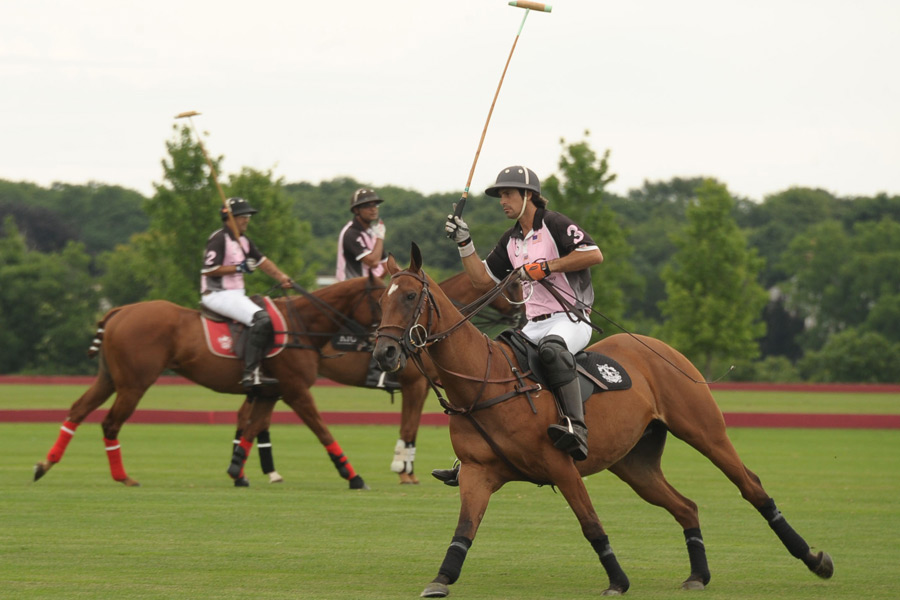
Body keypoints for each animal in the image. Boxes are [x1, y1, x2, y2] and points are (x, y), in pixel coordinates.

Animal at [34, 276, 386, 488]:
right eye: (384, 299)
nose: (385, 343)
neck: (302, 327)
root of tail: (118, 311)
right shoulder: (296, 391)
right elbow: (322, 430)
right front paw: (354, 477)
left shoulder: (270, 393)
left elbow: (251, 429)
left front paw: (237, 472)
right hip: (134, 384)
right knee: (110, 423)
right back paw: (123, 477)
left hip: (109, 378)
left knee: (78, 409)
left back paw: (45, 464)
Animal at [234, 270, 528, 486]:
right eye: (514, 286)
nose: (523, 317)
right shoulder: (415, 384)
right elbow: (408, 427)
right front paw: (403, 469)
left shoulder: (424, 385)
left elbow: (412, 427)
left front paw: (407, 468)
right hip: (290, 382)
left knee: (249, 414)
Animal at [370, 246, 828, 596]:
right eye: (380, 301)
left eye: (409, 297)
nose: (384, 354)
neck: (483, 384)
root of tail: (659, 346)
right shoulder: (478, 472)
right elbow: (464, 530)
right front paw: (441, 579)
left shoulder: (560, 466)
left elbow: (591, 524)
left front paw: (618, 581)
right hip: (634, 463)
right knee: (686, 505)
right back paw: (699, 574)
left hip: (705, 432)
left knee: (751, 486)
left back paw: (814, 559)